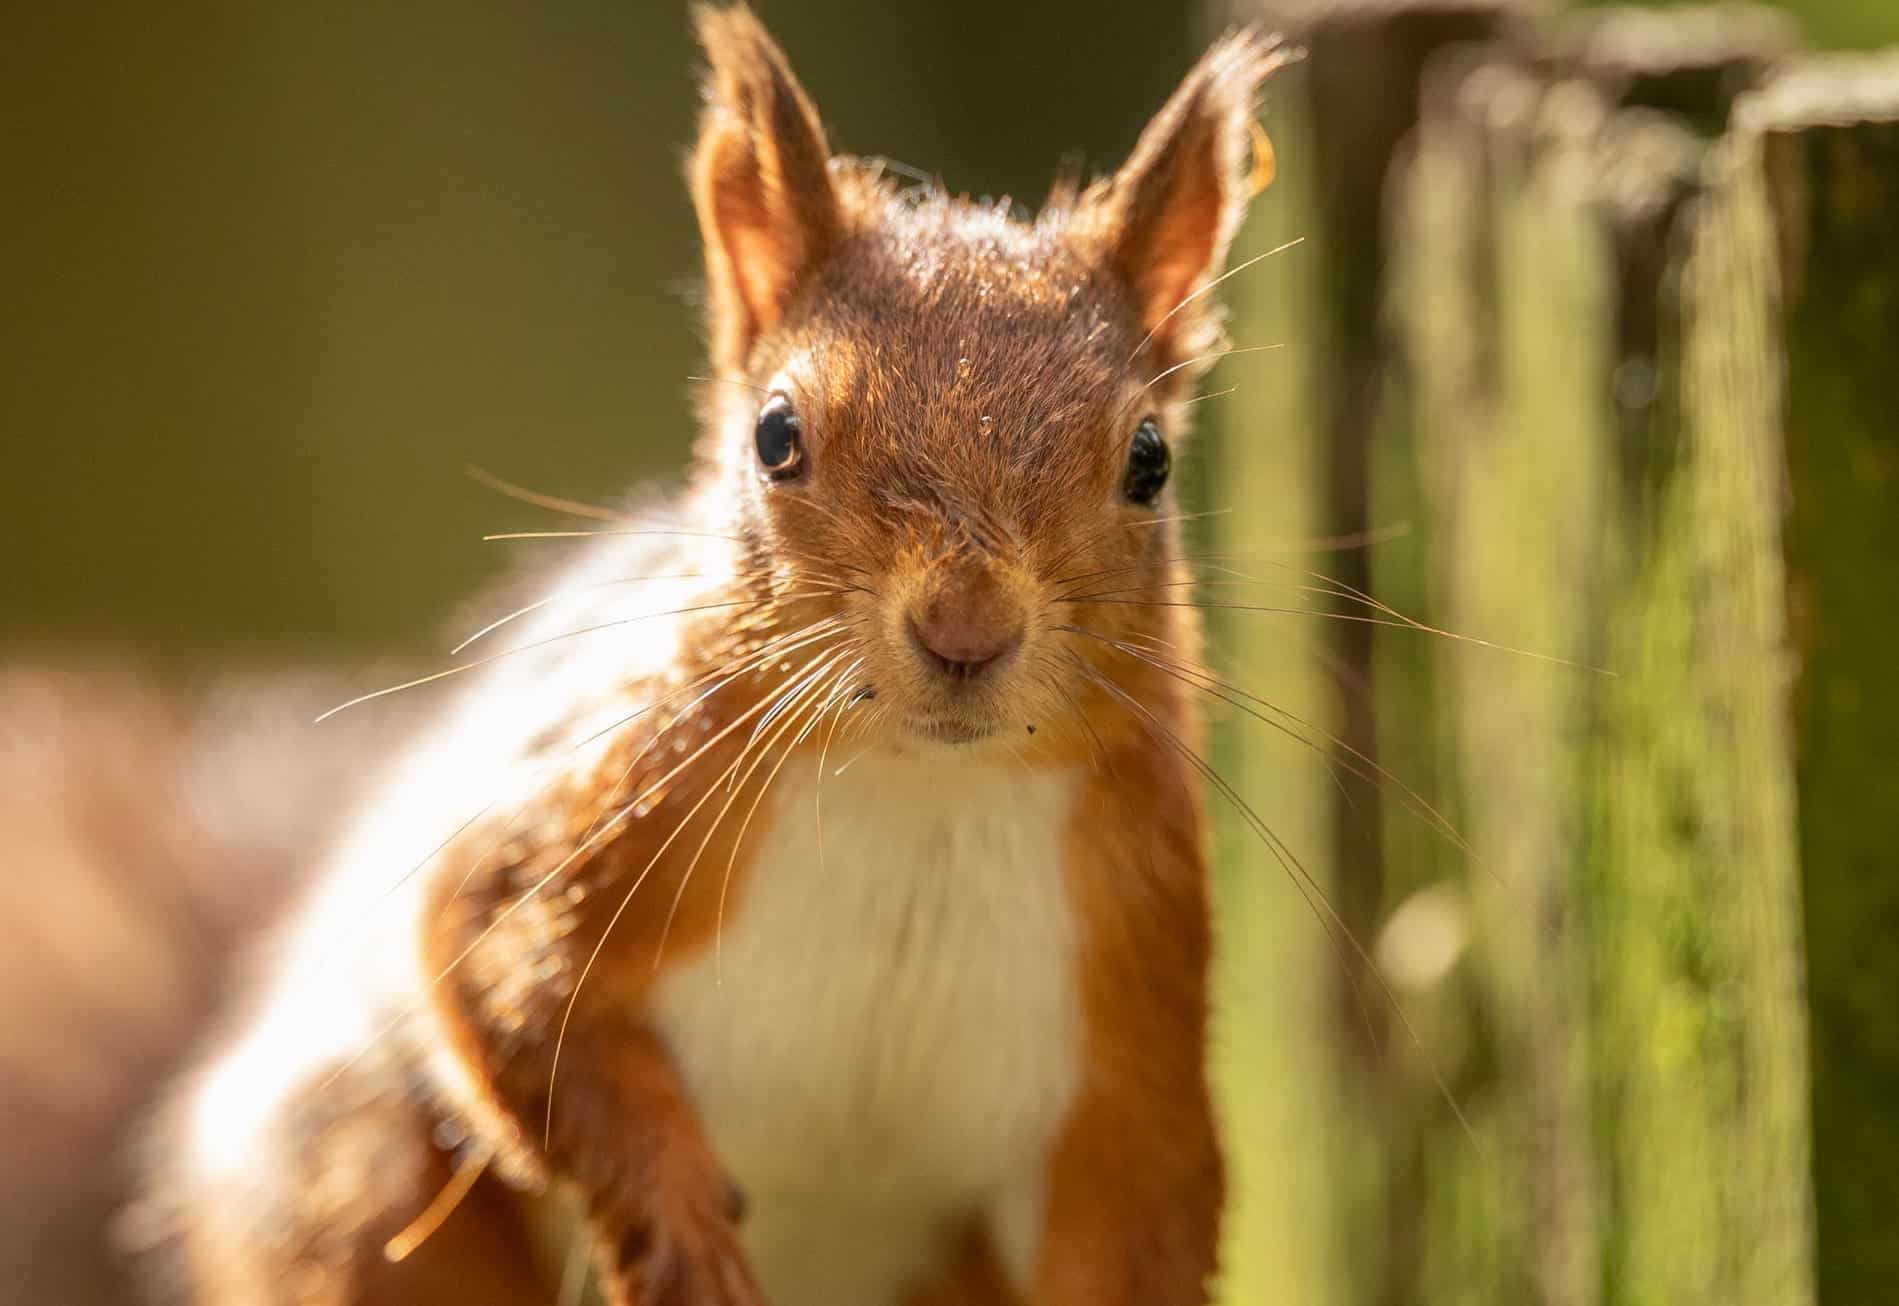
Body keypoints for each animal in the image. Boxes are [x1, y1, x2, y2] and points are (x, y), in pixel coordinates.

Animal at [137, 7, 1291, 1298]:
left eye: (1150, 459)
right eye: (775, 435)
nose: (965, 630)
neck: (922, 795)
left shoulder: (1133, 1026)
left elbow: (1139, 1221)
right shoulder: (600, 812)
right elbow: (501, 977)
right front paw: (678, 1228)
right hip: (357, 1180)